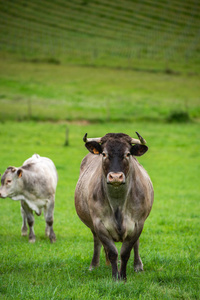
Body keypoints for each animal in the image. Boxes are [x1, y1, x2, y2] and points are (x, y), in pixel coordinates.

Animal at [74, 132, 154, 280]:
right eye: (104, 154)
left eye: (128, 154)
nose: (115, 177)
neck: (118, 204)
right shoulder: (99, 224)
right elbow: (112, 252)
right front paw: (115, 277)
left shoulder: (138, 223)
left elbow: (125, 252)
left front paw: (123, 276)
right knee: (97, 241)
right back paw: (94, 265)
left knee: (136, 244)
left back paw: (138, 265)